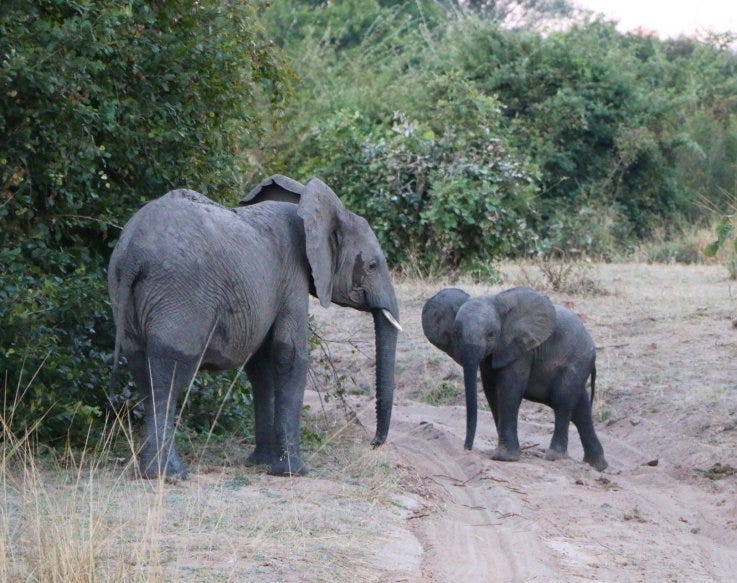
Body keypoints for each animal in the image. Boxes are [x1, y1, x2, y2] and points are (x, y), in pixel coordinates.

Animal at [108, 174, 401, 478]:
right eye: (372, 265)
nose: (374, 442)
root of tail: (133, 253)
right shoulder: (292, 278)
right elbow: (290, 354)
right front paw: (293, 472)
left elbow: (262, 364)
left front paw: (261, 463)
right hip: (179, 293)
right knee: (170, 370)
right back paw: (170, 475)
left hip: (123, 291)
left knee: (141, 366)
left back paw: (151, 472)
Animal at [421, 287, 607, 471]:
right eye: (456, 333)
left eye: (491, 335)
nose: (467, 448)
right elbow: (491, 391)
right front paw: (506, 452)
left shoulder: (520, 348)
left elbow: (509, 389)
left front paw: (504, 457)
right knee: (580, 407)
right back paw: (597, 465)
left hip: (577, 360)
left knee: (562, 400)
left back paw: (555, 457)